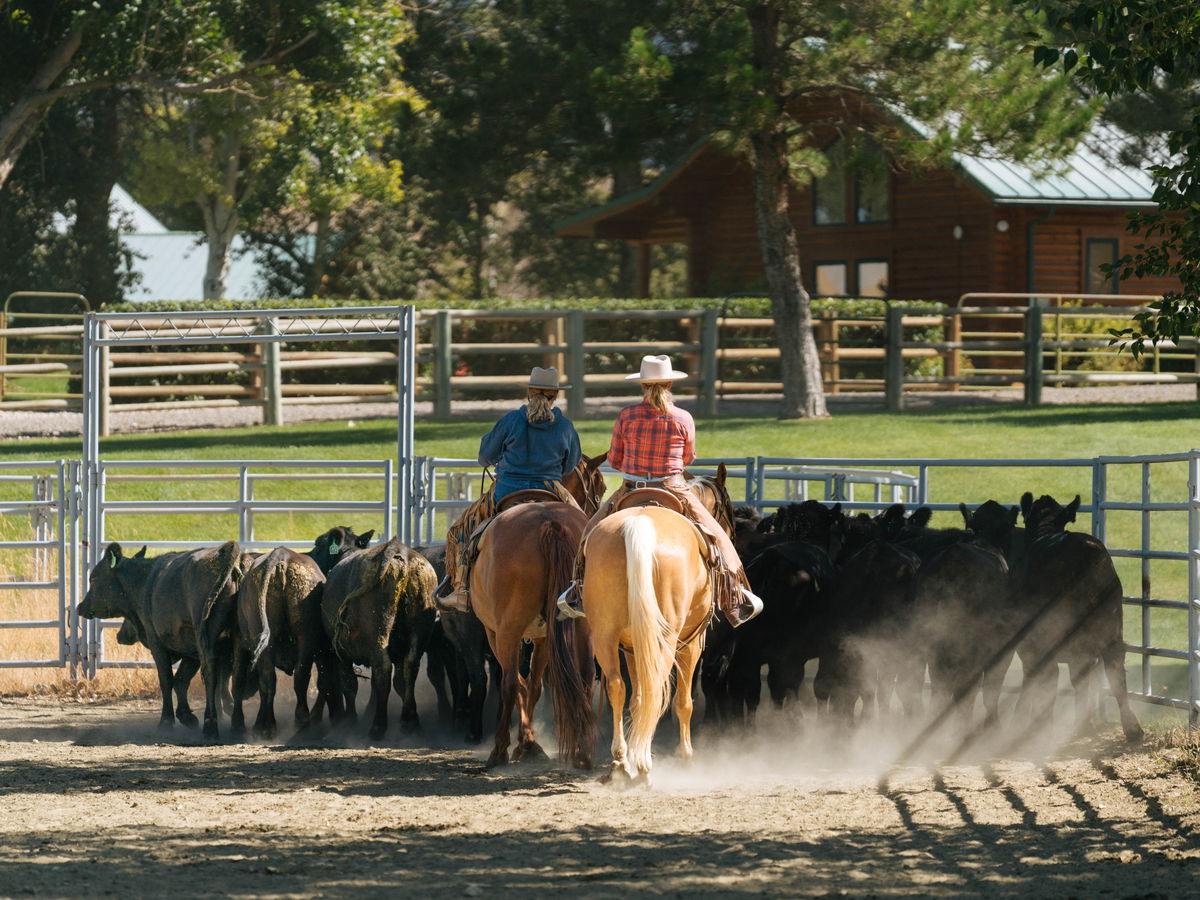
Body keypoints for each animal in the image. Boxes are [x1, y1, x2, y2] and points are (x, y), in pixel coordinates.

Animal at [468, 452, 607, 768]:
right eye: (602, 486)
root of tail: (550, 523)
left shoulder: (495, 631)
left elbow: (520, 682)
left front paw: (525, 743)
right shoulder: (544, 636)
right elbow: (534, 684)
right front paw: (529, 744)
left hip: (508, 629)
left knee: (508, 682)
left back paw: (498, 751)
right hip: (582, 625)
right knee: (584, 676)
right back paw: (583, 753)